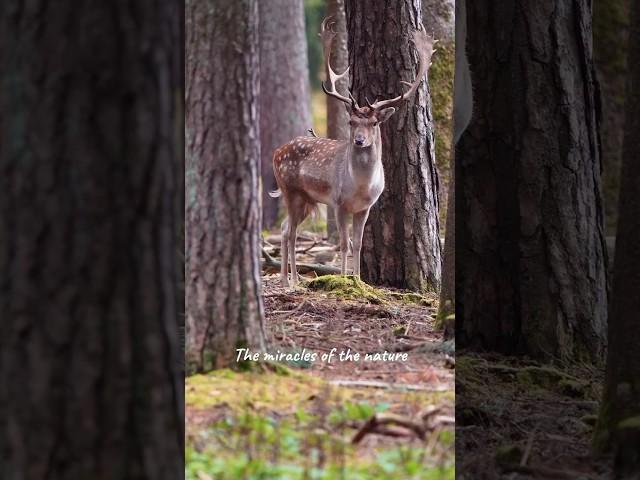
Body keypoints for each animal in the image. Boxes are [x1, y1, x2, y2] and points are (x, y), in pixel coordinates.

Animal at [268, 16, 438, 286]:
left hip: (306, 199)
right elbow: (343, 244)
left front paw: (358, 280)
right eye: (351, 122)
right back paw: (288, 280)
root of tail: (276, 151)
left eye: (374, 123)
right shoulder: (338, 203)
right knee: (289, 231)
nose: (359, 141)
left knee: (286, 228)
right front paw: (344, 279)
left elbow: (357, 243)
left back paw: (293, 278)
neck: (361, 187)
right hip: (290, 190)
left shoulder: (365, 207)